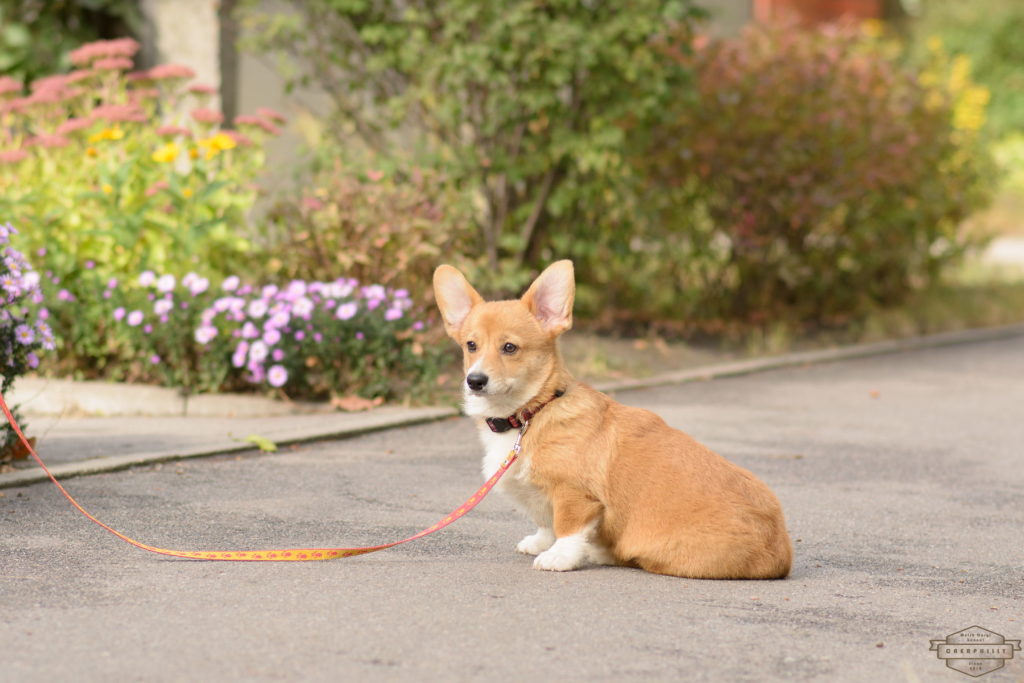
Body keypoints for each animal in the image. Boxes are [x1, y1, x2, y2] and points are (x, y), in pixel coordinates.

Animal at [432, 260, 790, 577]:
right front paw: (541, 542)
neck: (531, 413)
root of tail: (781, 553)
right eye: (471, 345)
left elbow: (566, 526)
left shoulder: (575, 495)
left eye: (509, 347)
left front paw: (559, 556)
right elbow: (546, 522)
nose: (475, 381)